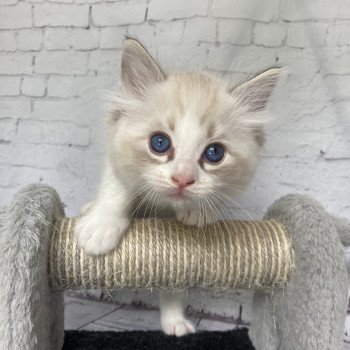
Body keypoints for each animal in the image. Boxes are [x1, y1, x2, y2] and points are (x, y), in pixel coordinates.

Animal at [75, 37, 280, 336]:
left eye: (214, 153)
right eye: (159, 143)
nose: (183, 179)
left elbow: (174, 285)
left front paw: (174, 321)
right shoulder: (116, 156)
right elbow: (117, 188)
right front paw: (100, 227)